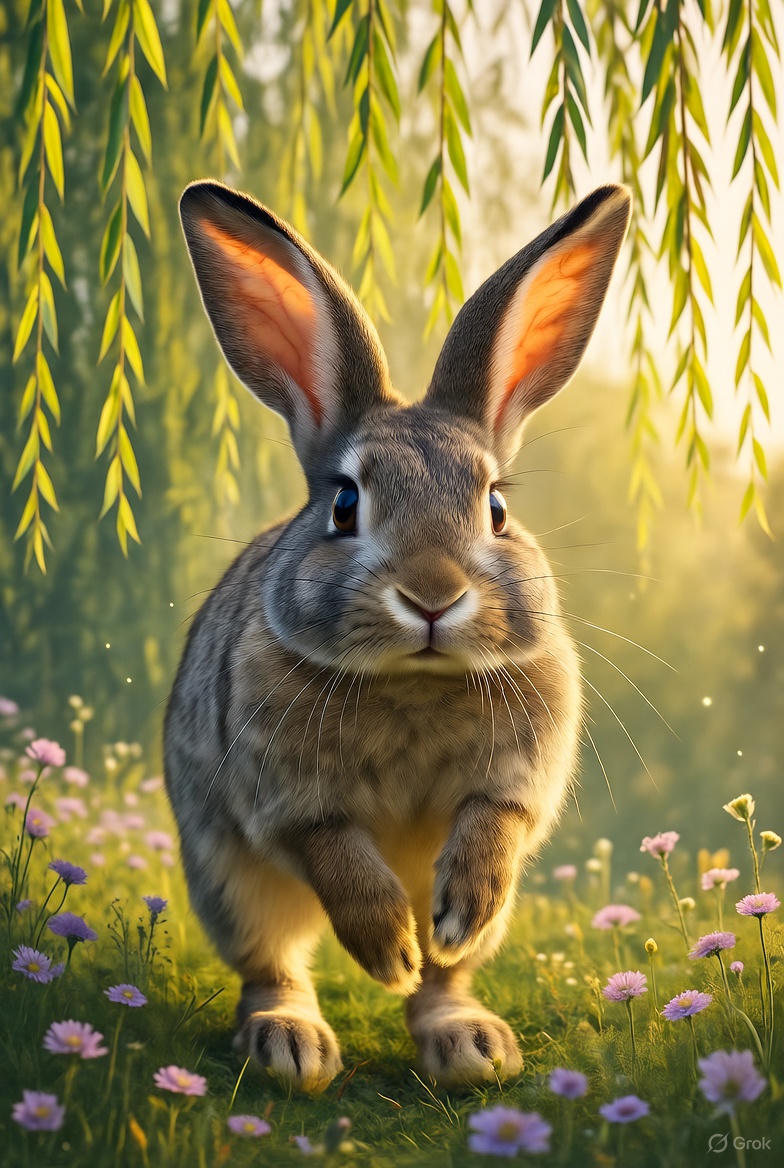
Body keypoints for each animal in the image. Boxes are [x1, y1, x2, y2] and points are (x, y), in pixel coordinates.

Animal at [165, 179, 631, 1089]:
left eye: (497, 508)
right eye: (345, 504)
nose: (433, 596)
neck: (414, 680)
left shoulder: (516, 777)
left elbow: (497, 819)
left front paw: (452, 915)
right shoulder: (286, 798)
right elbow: (334, 850)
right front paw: (386, 950)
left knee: (446, 977)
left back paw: (468, 1041)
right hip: (230, 881)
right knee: (272, 962)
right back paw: (292, 1043)